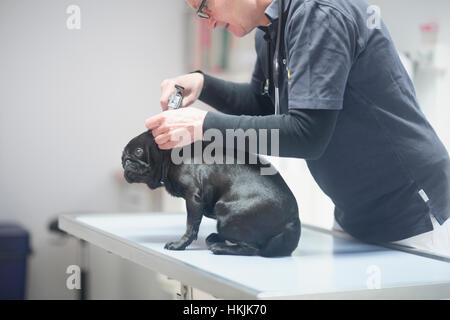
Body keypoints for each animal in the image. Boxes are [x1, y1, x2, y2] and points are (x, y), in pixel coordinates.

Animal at [121, 130, 300, 258]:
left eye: (138, 151)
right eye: (122, 157)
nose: (126, 161)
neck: (169, 154)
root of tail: (292, 221)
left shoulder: (193, 198)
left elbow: (191, 226)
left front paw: (179, 245)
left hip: (225, 213)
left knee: (253, 248)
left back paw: (219, 247)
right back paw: (216, 238)